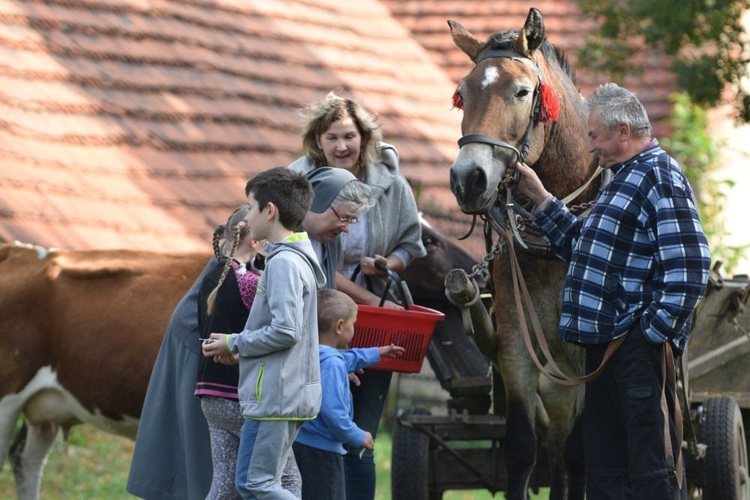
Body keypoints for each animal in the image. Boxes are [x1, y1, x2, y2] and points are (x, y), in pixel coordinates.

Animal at [446, 7, 604, 500]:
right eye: (462, 95)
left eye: (521, 91)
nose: (468, 180)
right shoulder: (517, 344)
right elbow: (520, 449)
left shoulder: (589, 356)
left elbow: (581, 456)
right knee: (552, 449)